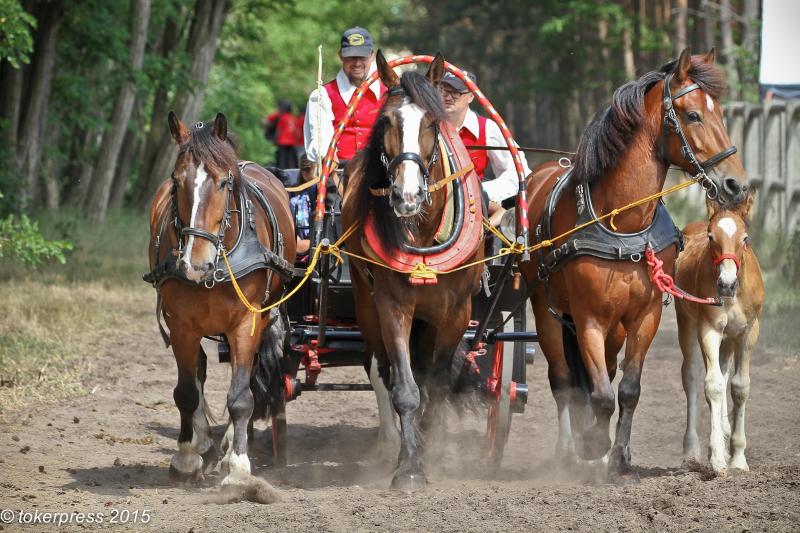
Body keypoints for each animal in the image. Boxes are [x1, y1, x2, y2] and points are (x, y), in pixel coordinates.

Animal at [145, 112, 296, 486]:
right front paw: (187, 457)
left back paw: (227, 446)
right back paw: (201, 441)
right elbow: (186, 391)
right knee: (198, 370)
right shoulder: (180, 324)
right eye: (176, 181)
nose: (196, 263)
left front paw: (238, 465)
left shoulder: (247, 321)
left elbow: (241, 396)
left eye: (225, 182)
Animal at [342, 52, 484, 488]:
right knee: (379, 368)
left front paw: (432, 451)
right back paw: (391, 442)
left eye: (432, 123)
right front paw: (408, 466)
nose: (407, 196)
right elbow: (405, 387)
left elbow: (437, 384)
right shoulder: (392, 305)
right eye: (387, 121)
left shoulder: (457, 313)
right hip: (364, 299)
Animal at [520, 48, 752, 482]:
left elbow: (627, 390)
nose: (736, 185)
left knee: (606, 373)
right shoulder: (588, 318)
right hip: (547, 310)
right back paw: (568, 450)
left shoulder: (644, 316)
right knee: (563, 378)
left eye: (721, 113)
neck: (622, 224)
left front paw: (620, 458)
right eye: (693, 115)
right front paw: (592, 445)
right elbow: (599, 394)